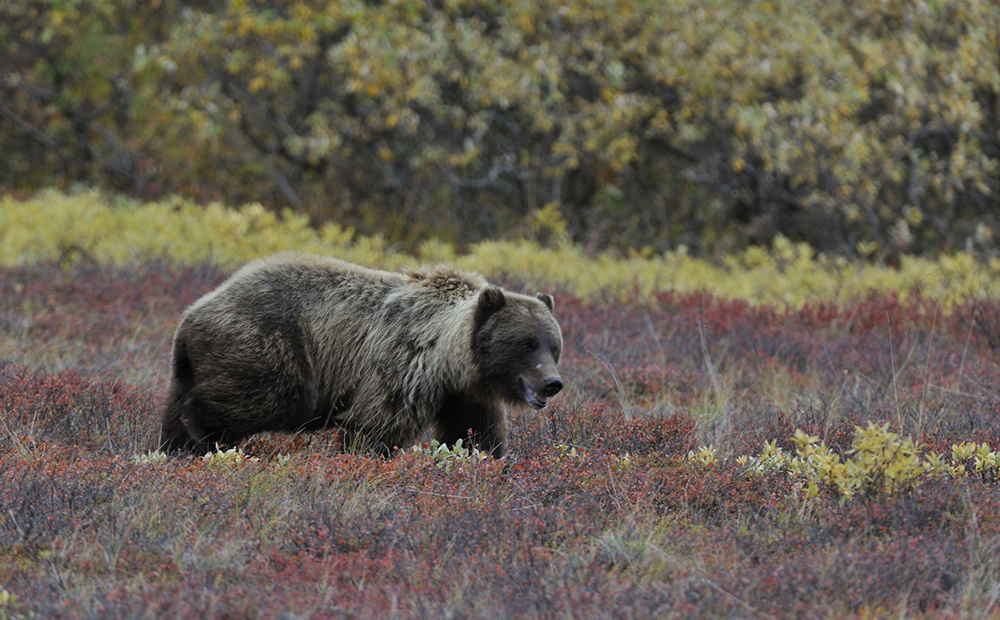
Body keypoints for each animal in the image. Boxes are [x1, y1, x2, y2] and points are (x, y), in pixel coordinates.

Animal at [156, 251, 564, 456]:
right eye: (525, 343)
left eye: (554, 344)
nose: (552, 383)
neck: (449, 360)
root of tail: (190, 315)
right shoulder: (400, 365)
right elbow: (374, 426)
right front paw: (364, 459)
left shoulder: (464, 394)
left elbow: (475, 434)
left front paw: (486, 460)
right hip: (269, 344)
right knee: (267, 395)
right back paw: (201, 429)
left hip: (190, 366)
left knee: (173, 415)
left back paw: (176, 448)